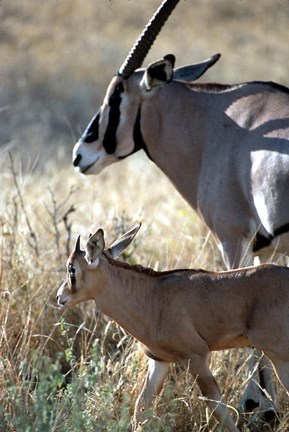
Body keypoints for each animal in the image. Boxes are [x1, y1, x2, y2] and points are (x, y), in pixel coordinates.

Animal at [56, 224, 289, 430]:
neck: (153, 297)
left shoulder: (196, 358)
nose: (60, 296)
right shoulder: (160, 361)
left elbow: (218, 408)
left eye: (72, 268)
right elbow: (141, 407)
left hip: (279, 356)